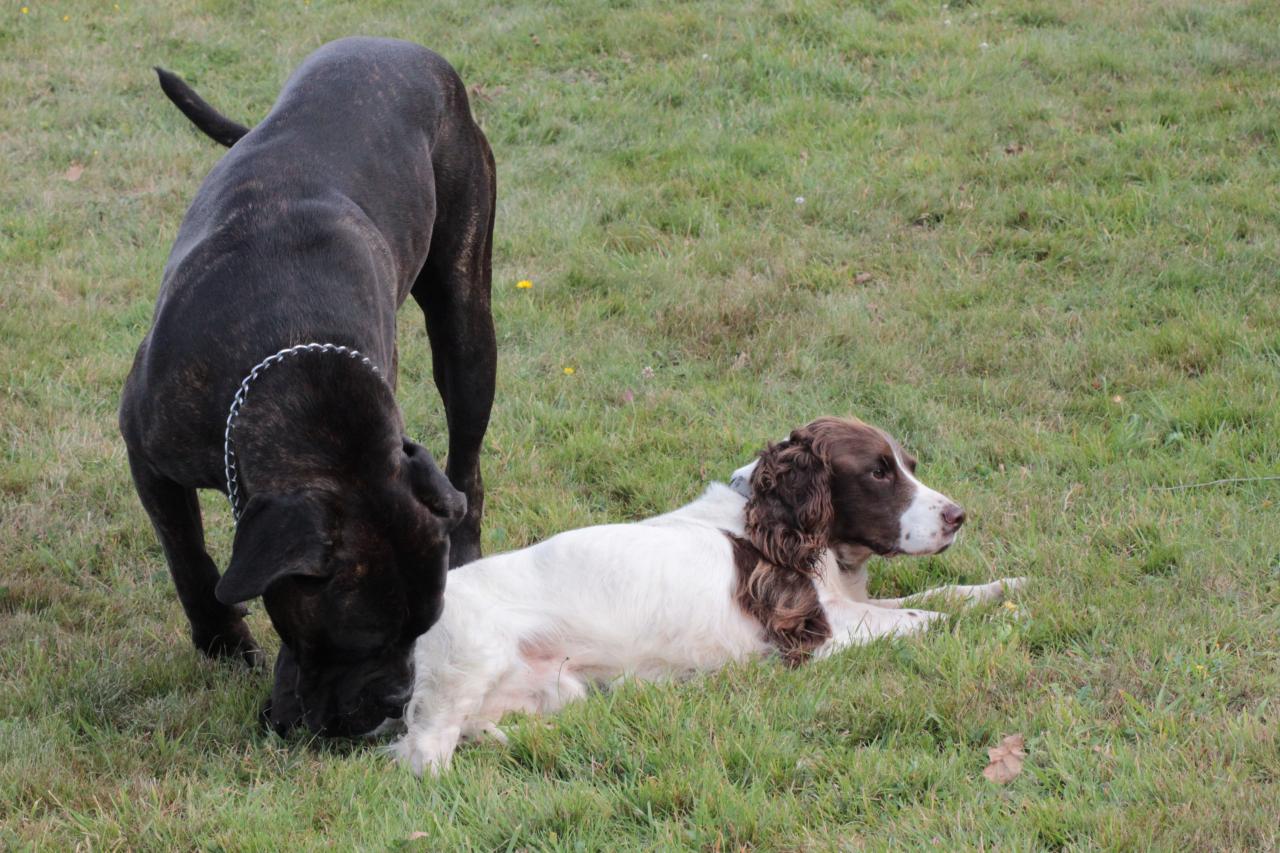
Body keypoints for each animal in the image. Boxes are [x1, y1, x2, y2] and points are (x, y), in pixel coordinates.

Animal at [120, 36, 496, 732]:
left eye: (422, 631)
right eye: (355, 639)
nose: (397, 702)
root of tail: (405, 48)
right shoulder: (148, 454)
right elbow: (188, 557)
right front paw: (222, 640)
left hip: (466, 330)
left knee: (467, 465)